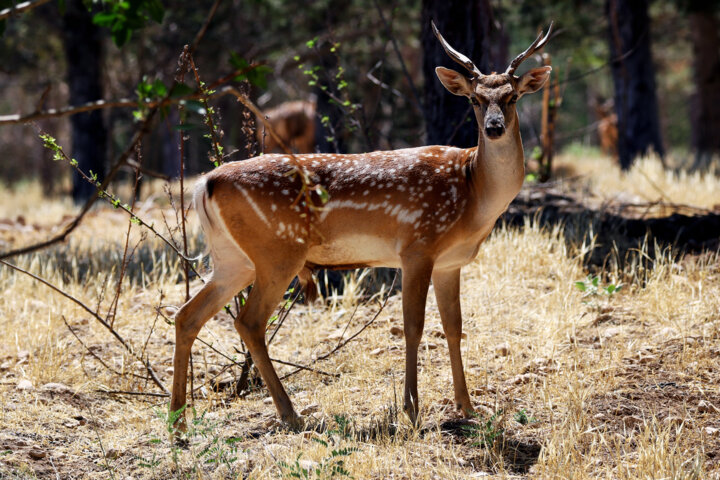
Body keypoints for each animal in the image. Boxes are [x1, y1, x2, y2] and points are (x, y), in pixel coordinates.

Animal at [172, 20, 556, 430]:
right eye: (474, 100)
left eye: (512, 97)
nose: (494, 127)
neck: (473, 192)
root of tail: (204, 183)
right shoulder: (417, 246)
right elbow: (414, 326)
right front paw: (411, 408)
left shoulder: (450, 262)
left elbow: (454, 327)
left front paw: (467, 407)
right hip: (277, 251)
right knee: (248, 322)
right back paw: (291, 414)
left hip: (233, 258)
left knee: (187, 315)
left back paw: (178, 420)